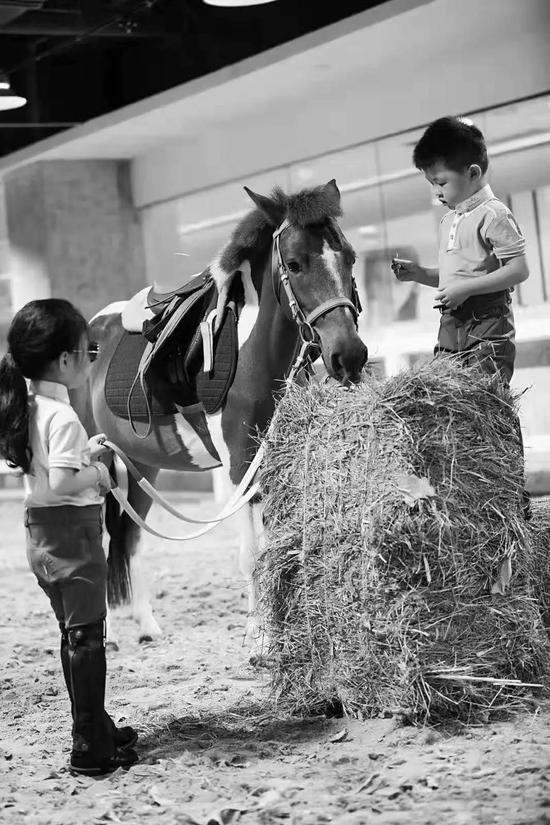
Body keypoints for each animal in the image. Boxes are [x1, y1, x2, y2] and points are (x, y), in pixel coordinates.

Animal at [72, 180, 366, 656]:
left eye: (350, 258)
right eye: (294, 264)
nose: (349, 356)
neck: (250, 354)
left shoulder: (271, 460)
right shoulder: (239, 462)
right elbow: (251, 554)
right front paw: (259, 639)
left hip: (141, 467)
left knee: (129, 540)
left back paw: (148, 626)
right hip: (96, 463)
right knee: (100, 544)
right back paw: (109, 636)